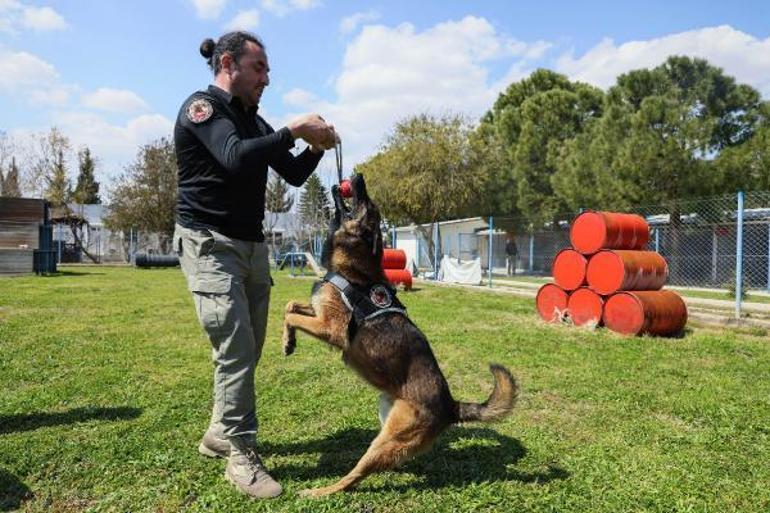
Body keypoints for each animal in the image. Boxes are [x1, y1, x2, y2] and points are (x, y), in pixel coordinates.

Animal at [282, 172, 516, 496]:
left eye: (368, 205)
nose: (358, 176)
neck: (354, 269)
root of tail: (451, 405)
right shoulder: (318, 313)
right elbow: (290, 305)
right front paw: (288, 341)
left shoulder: (332, 329)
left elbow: (290, 313)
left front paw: (288, 341)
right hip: (388, 418)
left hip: (388, 438)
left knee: (354, 476)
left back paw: (320, 491)